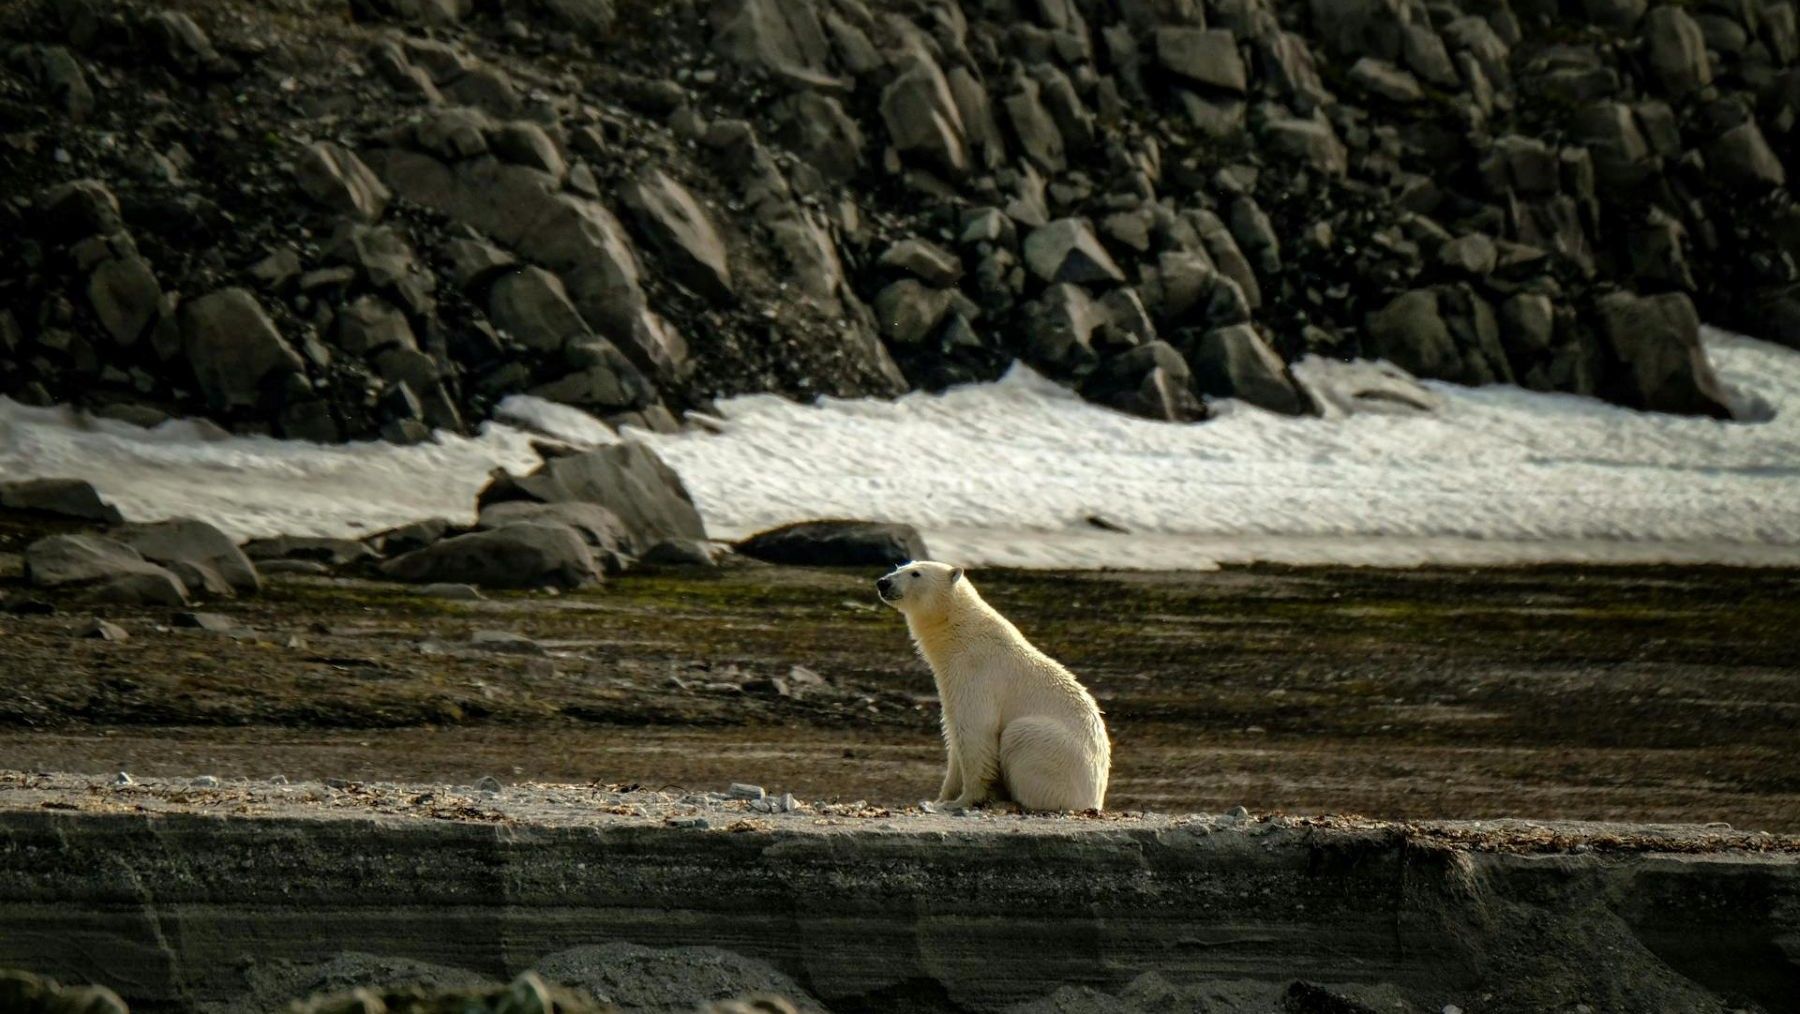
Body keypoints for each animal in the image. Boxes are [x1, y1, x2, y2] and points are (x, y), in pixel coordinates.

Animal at [877, 560, 1111, 812]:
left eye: (916, 573)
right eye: (900, 567)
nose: (883, 582)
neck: (961, 635)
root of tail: (1096, 797)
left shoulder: (977, 674)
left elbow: (976, 732)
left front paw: (959, 801)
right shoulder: (950, 683)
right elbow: (953, 736)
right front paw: (938, 799)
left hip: (1058, 753)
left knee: (1020, 734)